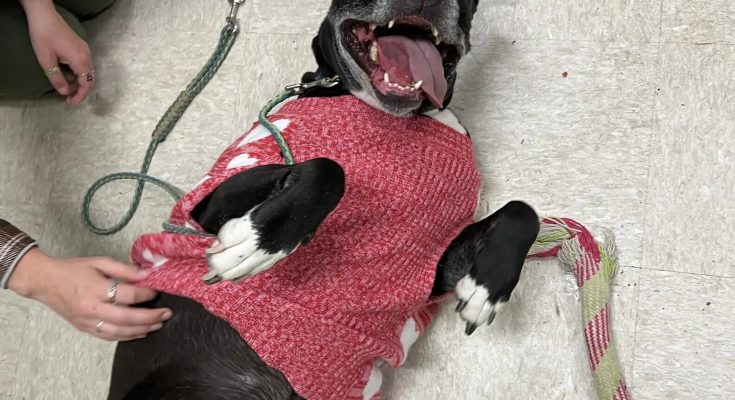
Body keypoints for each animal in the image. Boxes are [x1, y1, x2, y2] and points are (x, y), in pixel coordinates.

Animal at [107, 1, 540, 399]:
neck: (406, 118)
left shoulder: (430, 267)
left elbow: (524, 213)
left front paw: (487, 287)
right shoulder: (209, 199)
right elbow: (327, 169)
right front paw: (258, 244)